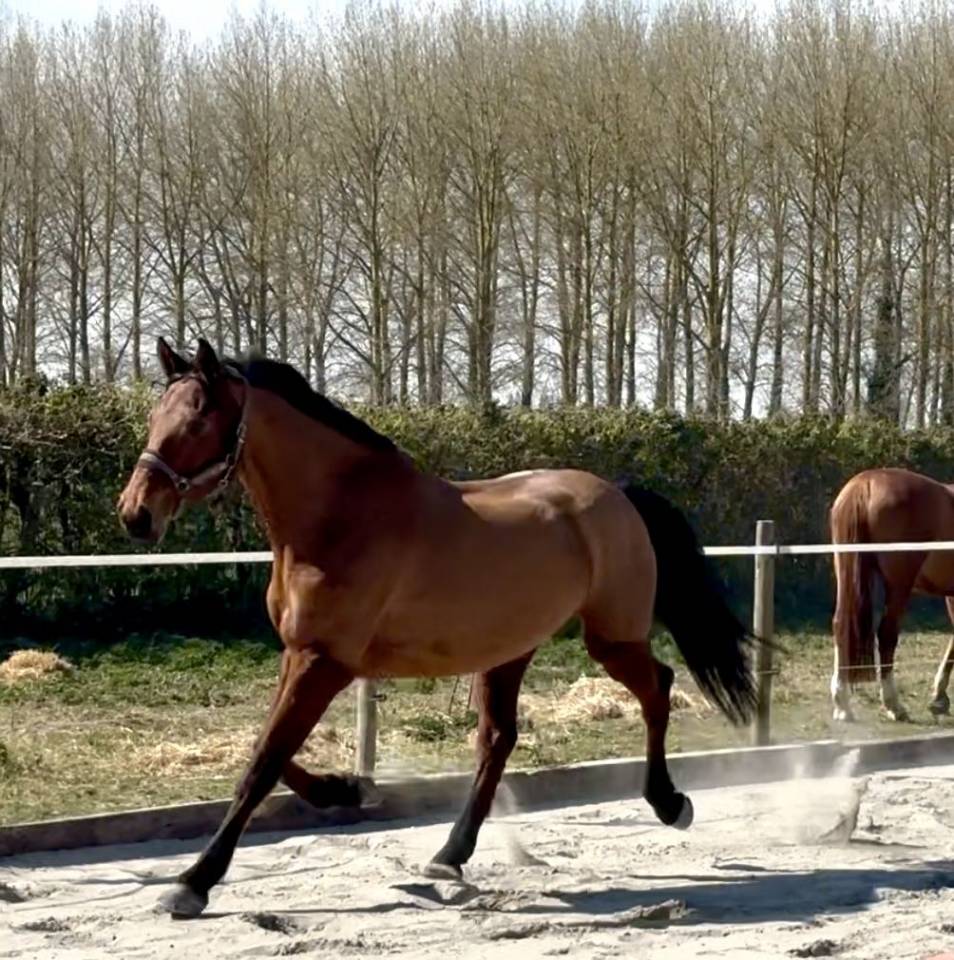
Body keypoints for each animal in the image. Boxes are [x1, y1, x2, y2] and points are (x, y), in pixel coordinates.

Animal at [117, 337, 756, 918]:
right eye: (155, 417)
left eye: (198, 419)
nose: (135, 515)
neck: (338, 518)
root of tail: (617, 496)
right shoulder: (297, 653)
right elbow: (266, 750)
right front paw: (347, 787)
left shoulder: (324, 662)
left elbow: (262, 765)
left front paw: (193, 882)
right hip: (509, 649)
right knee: (498, 739)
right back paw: (450, 855)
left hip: (610, 640)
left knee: (658, 688)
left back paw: (670, 803)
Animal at [830, 467, 954, 723]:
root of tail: (866, 483)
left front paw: (939, 697)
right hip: (898, 587)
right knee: (887, 634)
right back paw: (894, 705)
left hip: (847, 578)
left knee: (841, 626)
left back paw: (842, 704)